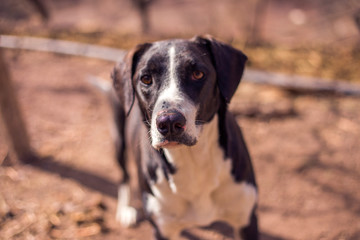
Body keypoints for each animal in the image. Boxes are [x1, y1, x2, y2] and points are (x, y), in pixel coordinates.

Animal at [111, 35, 258, 240]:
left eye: (197, 74)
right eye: (146, 78)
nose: (169, 122)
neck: (193, 160)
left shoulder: (247, 220)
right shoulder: (163, 228)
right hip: (120, 140)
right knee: (124, 173)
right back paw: (126, 209)